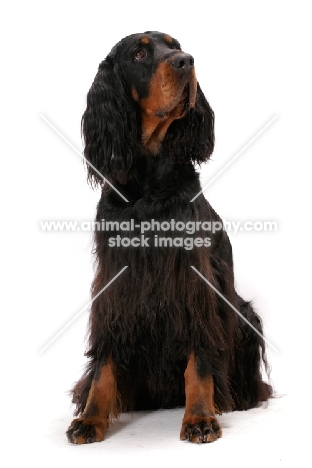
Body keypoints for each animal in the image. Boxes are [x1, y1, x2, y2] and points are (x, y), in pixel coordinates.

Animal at [67, 31, 272, 444]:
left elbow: (199, 361)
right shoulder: (115, 283)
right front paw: (92, 417)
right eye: (139, 53)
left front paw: (199, 417)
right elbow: (105, 362)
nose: (186, 61)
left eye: (175, 44)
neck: (148, 182)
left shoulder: (193, 283)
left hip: (243, 313)